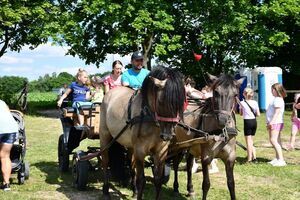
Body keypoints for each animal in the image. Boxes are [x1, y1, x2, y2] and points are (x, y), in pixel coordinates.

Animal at [99, 66, 185, 199]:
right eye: (161, 101)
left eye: (180, 103)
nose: (167, 135)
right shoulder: (140, 150)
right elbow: (141, 180)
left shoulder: (161, 151)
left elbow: (158, 180)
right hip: (105, 136)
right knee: (105, 161)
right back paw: (105, 190)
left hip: (130, 145)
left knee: (131, 163)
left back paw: (134, 190)